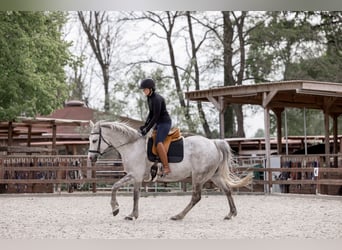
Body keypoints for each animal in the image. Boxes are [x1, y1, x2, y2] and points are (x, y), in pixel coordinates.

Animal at [87, 121, 254, 221]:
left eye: (94, 140)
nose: (91, 158)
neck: (132, 146)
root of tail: (213, 143)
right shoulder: (134, 177)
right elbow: (120, 189)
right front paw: (122, 210)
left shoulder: (135, 176)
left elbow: (129, 194)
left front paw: (123, 211)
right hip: (215, 176)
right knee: (227, 190)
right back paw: (231, 213)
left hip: (198, 177)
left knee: (196, 197)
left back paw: (178, 216)